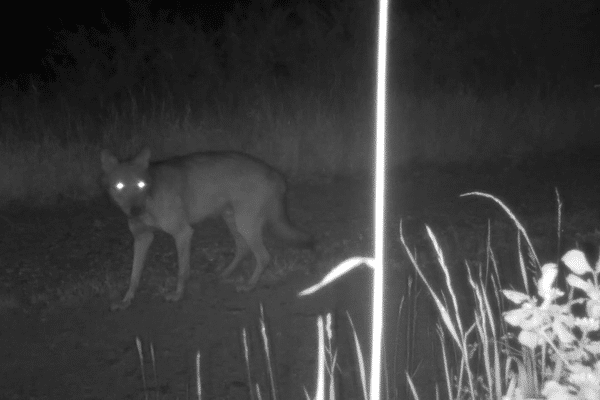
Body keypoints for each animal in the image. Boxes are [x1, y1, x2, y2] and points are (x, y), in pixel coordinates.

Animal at [99, 147, 314, 310]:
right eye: (120, 186)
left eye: (140, 184)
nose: (135, 210)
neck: (149, 198)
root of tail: (276, 173)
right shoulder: (142, 238)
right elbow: (134, 276)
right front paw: (126, 300)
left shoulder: (183, 234)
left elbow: (182, 272)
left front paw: (178, 295)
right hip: (233, 221)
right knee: (243, 249)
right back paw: (226, 274)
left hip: (245, 225)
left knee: (263, 256)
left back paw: (249, 285)